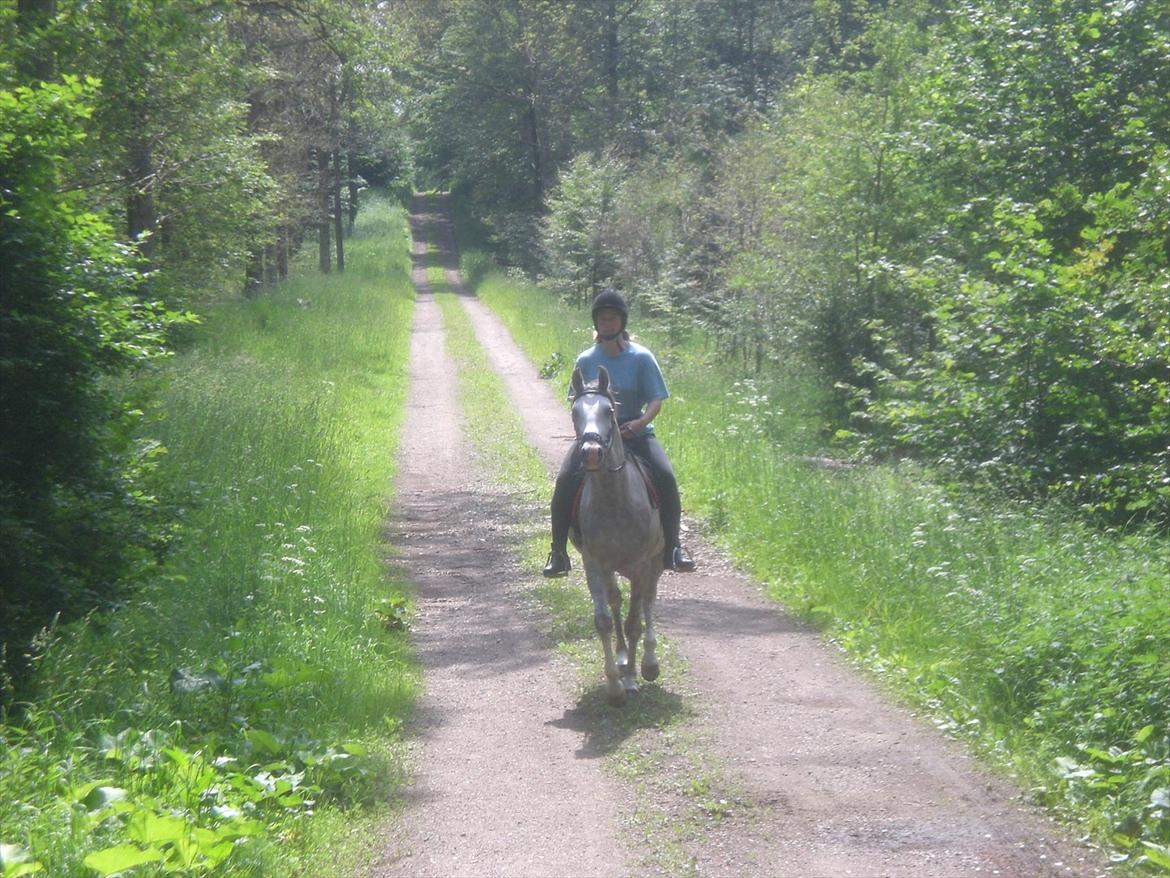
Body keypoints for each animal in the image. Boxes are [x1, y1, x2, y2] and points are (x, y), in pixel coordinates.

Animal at [568, 365, 664, 707]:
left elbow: (634, 623)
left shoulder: (641, 565)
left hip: (655, 563)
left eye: (609, 411)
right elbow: (605, 621)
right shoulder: (594, 564)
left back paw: (648, 663)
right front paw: (614, 686)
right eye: (575, 412)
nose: (591, 453)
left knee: (648, 601)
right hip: (612, 569)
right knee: (616, 601)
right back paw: (623, 658)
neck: (614, 500)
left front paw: (632, 680)